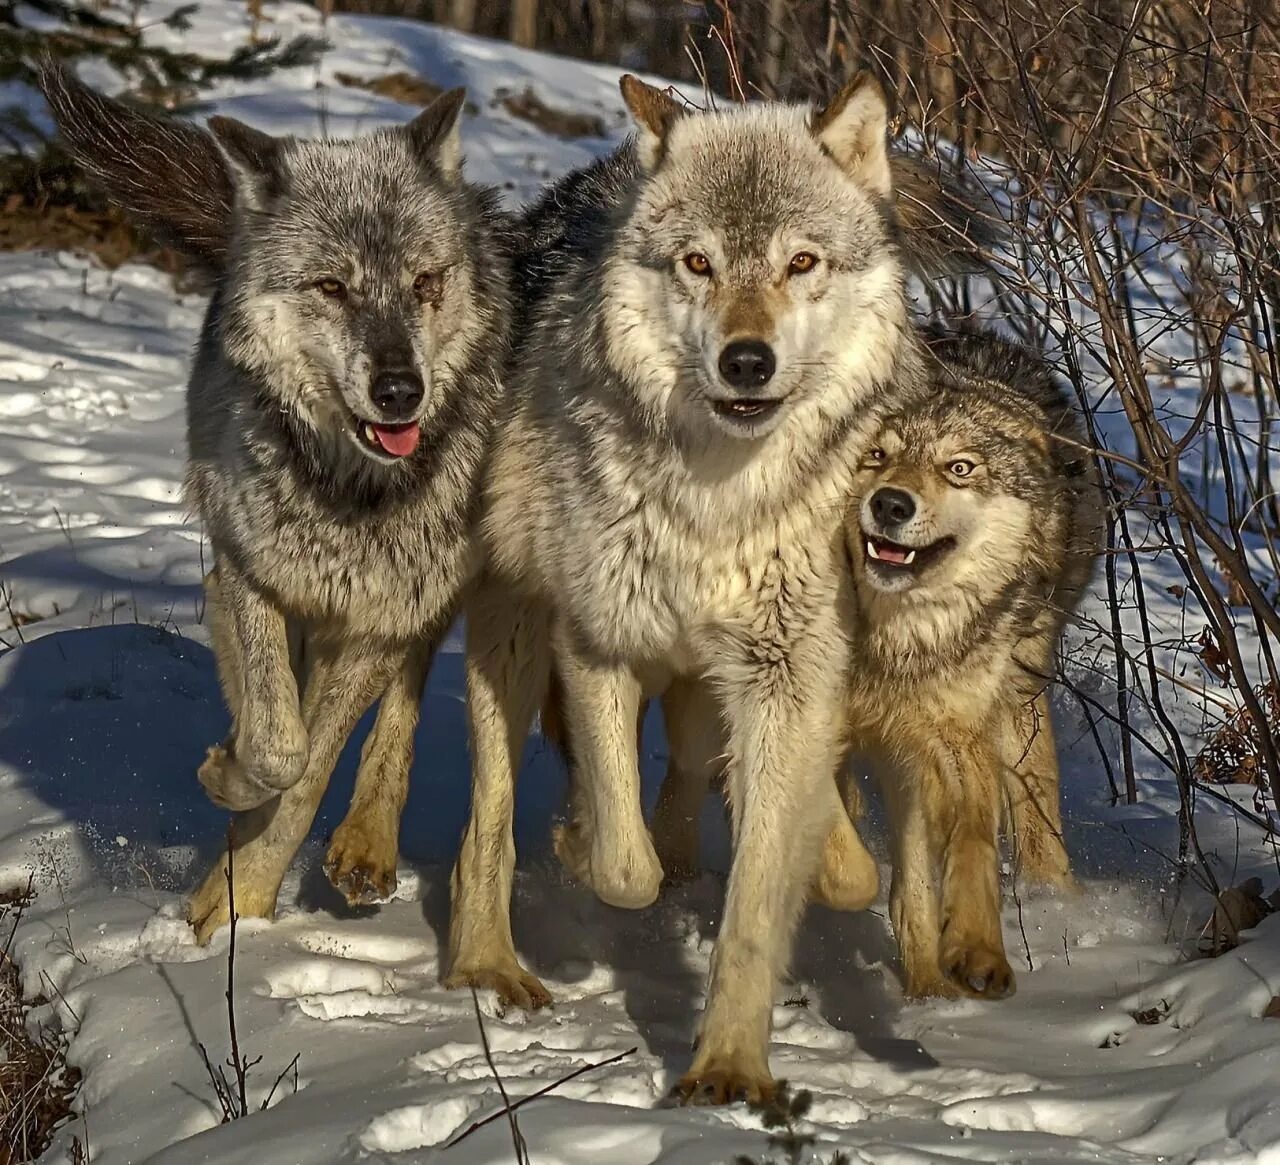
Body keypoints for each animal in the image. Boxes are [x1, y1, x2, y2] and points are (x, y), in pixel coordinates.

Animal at [45, 66, 514, 947]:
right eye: (332, 286)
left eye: (424, 284)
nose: (400, 391)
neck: (347, 492)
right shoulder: (249, 577)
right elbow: (275, 747)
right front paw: (227, 776)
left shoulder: (376, 624)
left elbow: (306, 775)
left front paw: (241, 905)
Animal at [445, 68, 926, 1106]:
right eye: (699, 264)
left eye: (800, 263)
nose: (747, 359)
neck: (719, 500)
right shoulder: (599, 643)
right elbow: (621, 865)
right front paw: (590, 843)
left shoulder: (789, 673)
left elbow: (764, 896)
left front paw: (729, 1068)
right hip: (514, 644)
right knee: (492, 819)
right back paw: (489, 962)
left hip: (714, 680)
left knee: (701, 774)